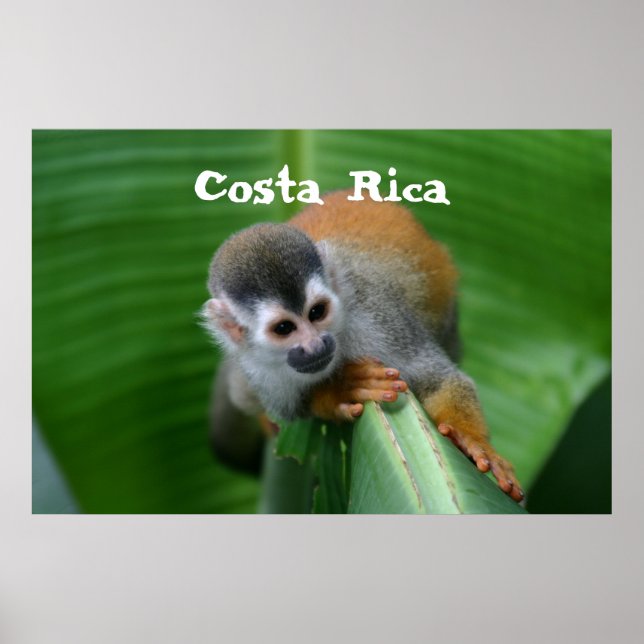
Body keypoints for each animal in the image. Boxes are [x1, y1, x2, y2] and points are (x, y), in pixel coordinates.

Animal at [202, 189, 524, 502]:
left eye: (316, 312)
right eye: (284, 329)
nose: (315, 345)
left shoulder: (376, 317)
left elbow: (439, 378)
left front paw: (474, 442)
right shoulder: (258, 368)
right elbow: (292, 409)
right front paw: (340, 389)